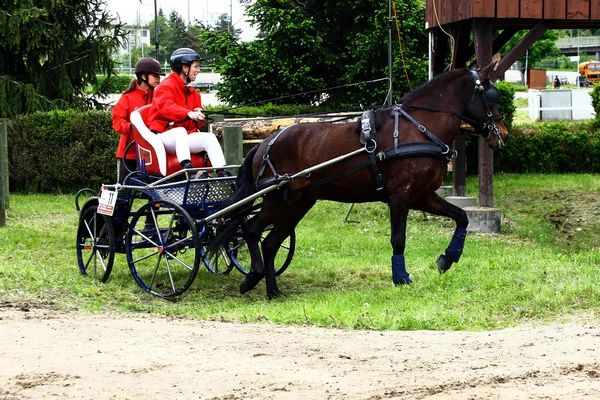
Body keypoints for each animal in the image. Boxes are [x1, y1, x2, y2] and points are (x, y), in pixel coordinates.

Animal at [211, 61, 506, 298]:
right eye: (492, 96)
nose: (502, 133)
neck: (418, 128)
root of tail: (266, 142)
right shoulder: (400, 196)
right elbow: (398, 238)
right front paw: (401, 277)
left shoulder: (422, 196)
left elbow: (462, 217)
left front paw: (447, 258)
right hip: (277, 200)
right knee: (251, 229)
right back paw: (253, 276)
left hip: (297, 203)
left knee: (270, 242)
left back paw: (273, 291)